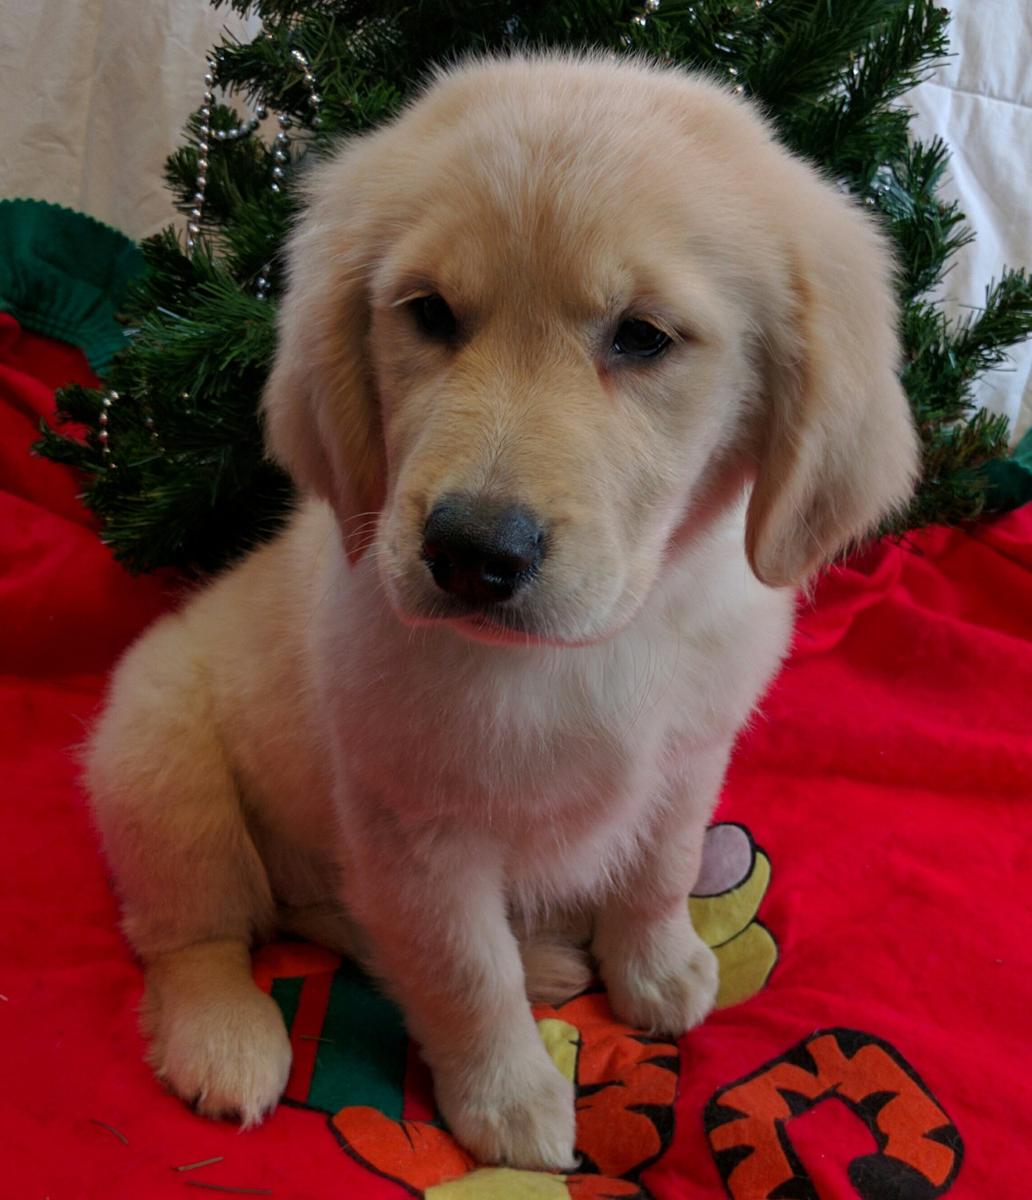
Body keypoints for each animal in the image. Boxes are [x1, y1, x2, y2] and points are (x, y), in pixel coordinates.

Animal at [82, 51, 916, 1166]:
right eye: (430, 313)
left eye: (643, 337)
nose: (471, 553)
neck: (603, 642)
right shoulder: (418, 829)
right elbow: (460, 971)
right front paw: (509, 1099)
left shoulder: (689, 758)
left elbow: (661, 867)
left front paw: (657, 965)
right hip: (162, 768)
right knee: (197, 934)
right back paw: (227, 1038)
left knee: (329, 912)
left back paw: (549, 960)